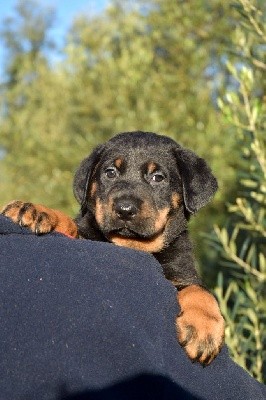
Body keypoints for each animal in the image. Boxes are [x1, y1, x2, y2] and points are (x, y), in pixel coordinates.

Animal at [1, 131, 224, 366]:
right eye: (110, 173)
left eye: (158, 177)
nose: (125, 209)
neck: (132, 244)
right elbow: (72, 225)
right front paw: (38, 211)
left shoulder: (183, 272)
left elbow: (200, 290)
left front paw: (203, 331)